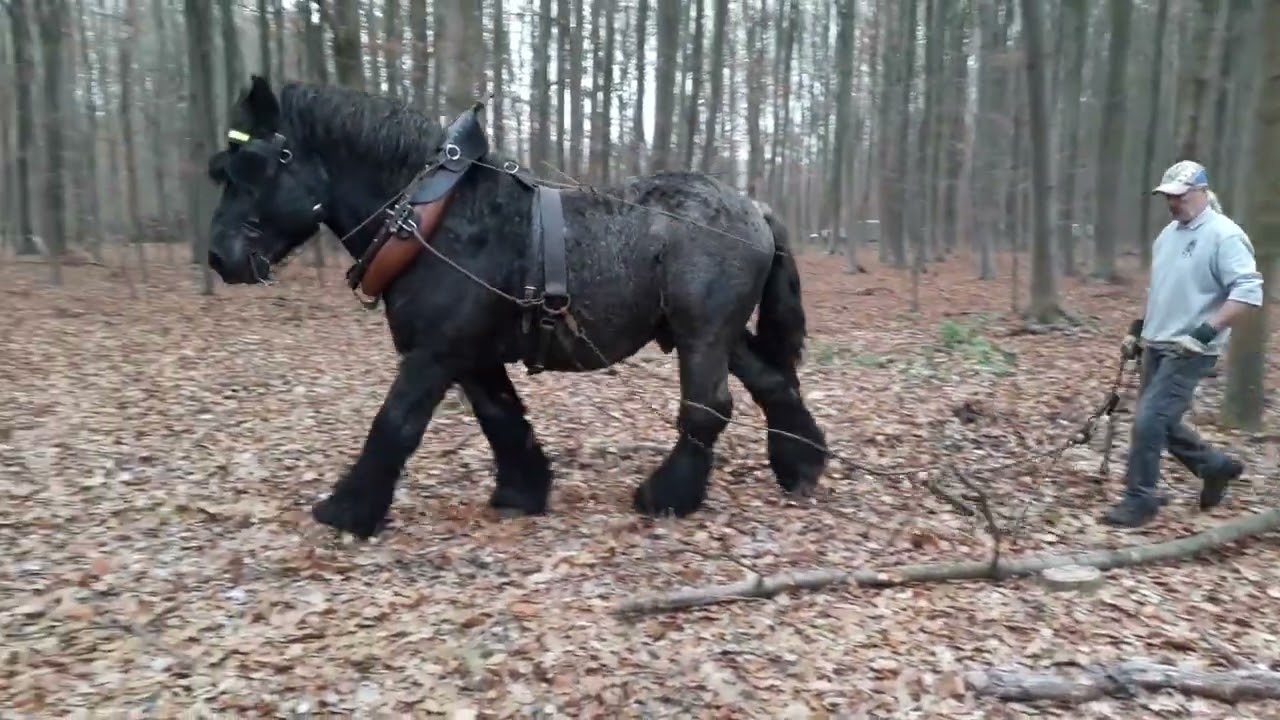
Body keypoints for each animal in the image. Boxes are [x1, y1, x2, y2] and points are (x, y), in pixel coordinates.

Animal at [203, 75, 828, 539]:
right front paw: (521, 491)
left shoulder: (432, 355)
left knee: (708, 408)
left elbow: (395, 424)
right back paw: (801, 464)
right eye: (223, 169)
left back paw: (666, 495)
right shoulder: (470, 355)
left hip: (702, 331)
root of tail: (753, 207)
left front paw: (348, 510)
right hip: (720, 332)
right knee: (772, 382)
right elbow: (501, 419)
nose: (219, 255)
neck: (433, 219)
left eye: (258, 164)